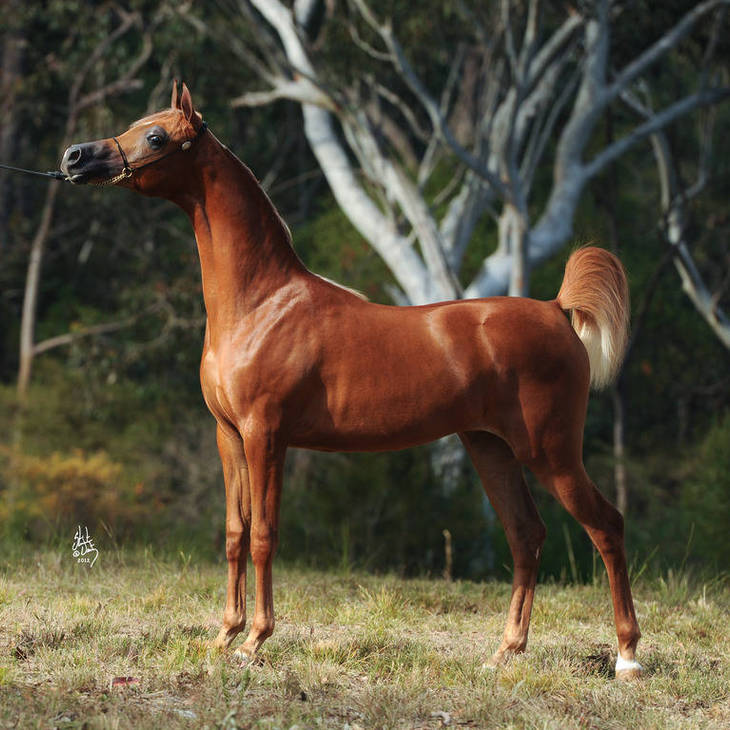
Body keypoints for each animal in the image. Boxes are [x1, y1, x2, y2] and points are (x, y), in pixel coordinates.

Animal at [60, 81, 643, 679]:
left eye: (155, 136)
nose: (75, 157)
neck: (261, 304)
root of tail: (556, 309)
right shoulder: (229, 436)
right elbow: (235, 534)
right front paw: (224, 635)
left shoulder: (266, 435)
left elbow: (265, 535)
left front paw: (255, 641)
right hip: (491, 450)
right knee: (526, 536)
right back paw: (505, 651)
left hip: (551, 454)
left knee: (606, 526)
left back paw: (626, 656)